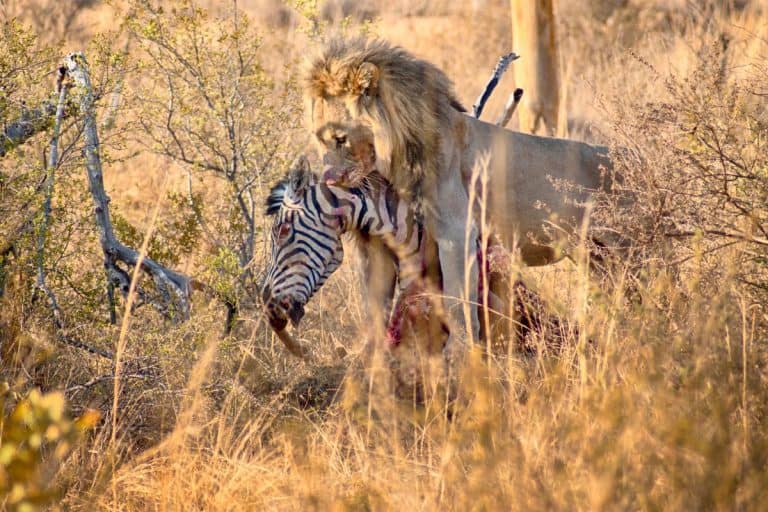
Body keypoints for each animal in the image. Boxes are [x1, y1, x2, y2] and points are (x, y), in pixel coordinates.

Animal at [305, 37, 613, 362]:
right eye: (319, 139)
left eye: (340, 139)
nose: (328, 179)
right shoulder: (380, 244)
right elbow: (375, 305)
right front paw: (368, 356)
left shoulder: (456, 231)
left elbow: (456, 299)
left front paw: (459, 352)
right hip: (598, 259)